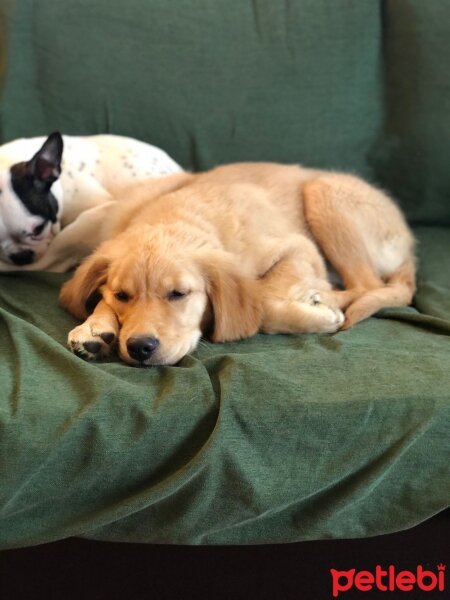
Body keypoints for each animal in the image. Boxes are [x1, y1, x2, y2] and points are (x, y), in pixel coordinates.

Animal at [59, 163, 414, 366]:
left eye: (178, 294)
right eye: (122, 296)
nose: (140, 347)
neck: (180, 216)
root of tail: (409, 240)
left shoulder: (298, 248)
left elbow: (263, 302)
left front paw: (317, 313)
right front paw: (94, 327)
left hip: (323, 193)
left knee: (366, 284)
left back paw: (324, 299)